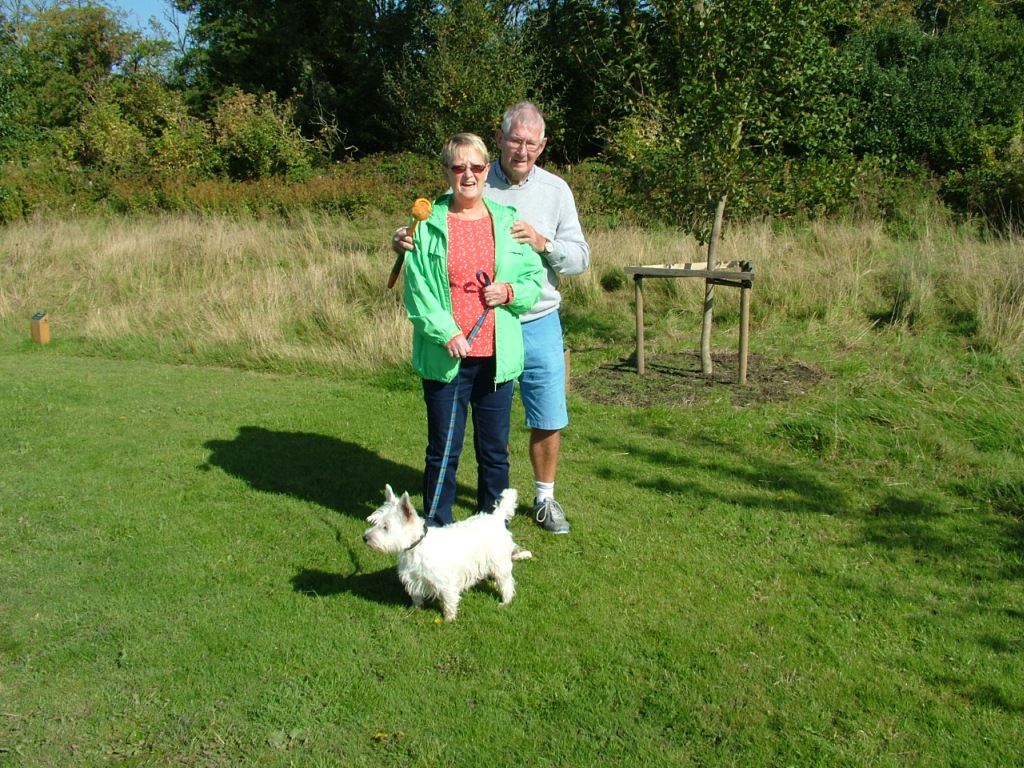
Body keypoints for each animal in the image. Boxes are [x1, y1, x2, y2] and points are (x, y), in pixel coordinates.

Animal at [364, 487, 532, 626]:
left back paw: (505, 602)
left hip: (499, 562)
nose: (365, 538)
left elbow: (448, 600)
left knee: (506, 582)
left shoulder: (446, 582)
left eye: (386, 527)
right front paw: (416, 609)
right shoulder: (413, 578)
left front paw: (449, 618)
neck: (417, 547)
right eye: (375, 522)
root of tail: (497, 518)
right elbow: (416, 596)